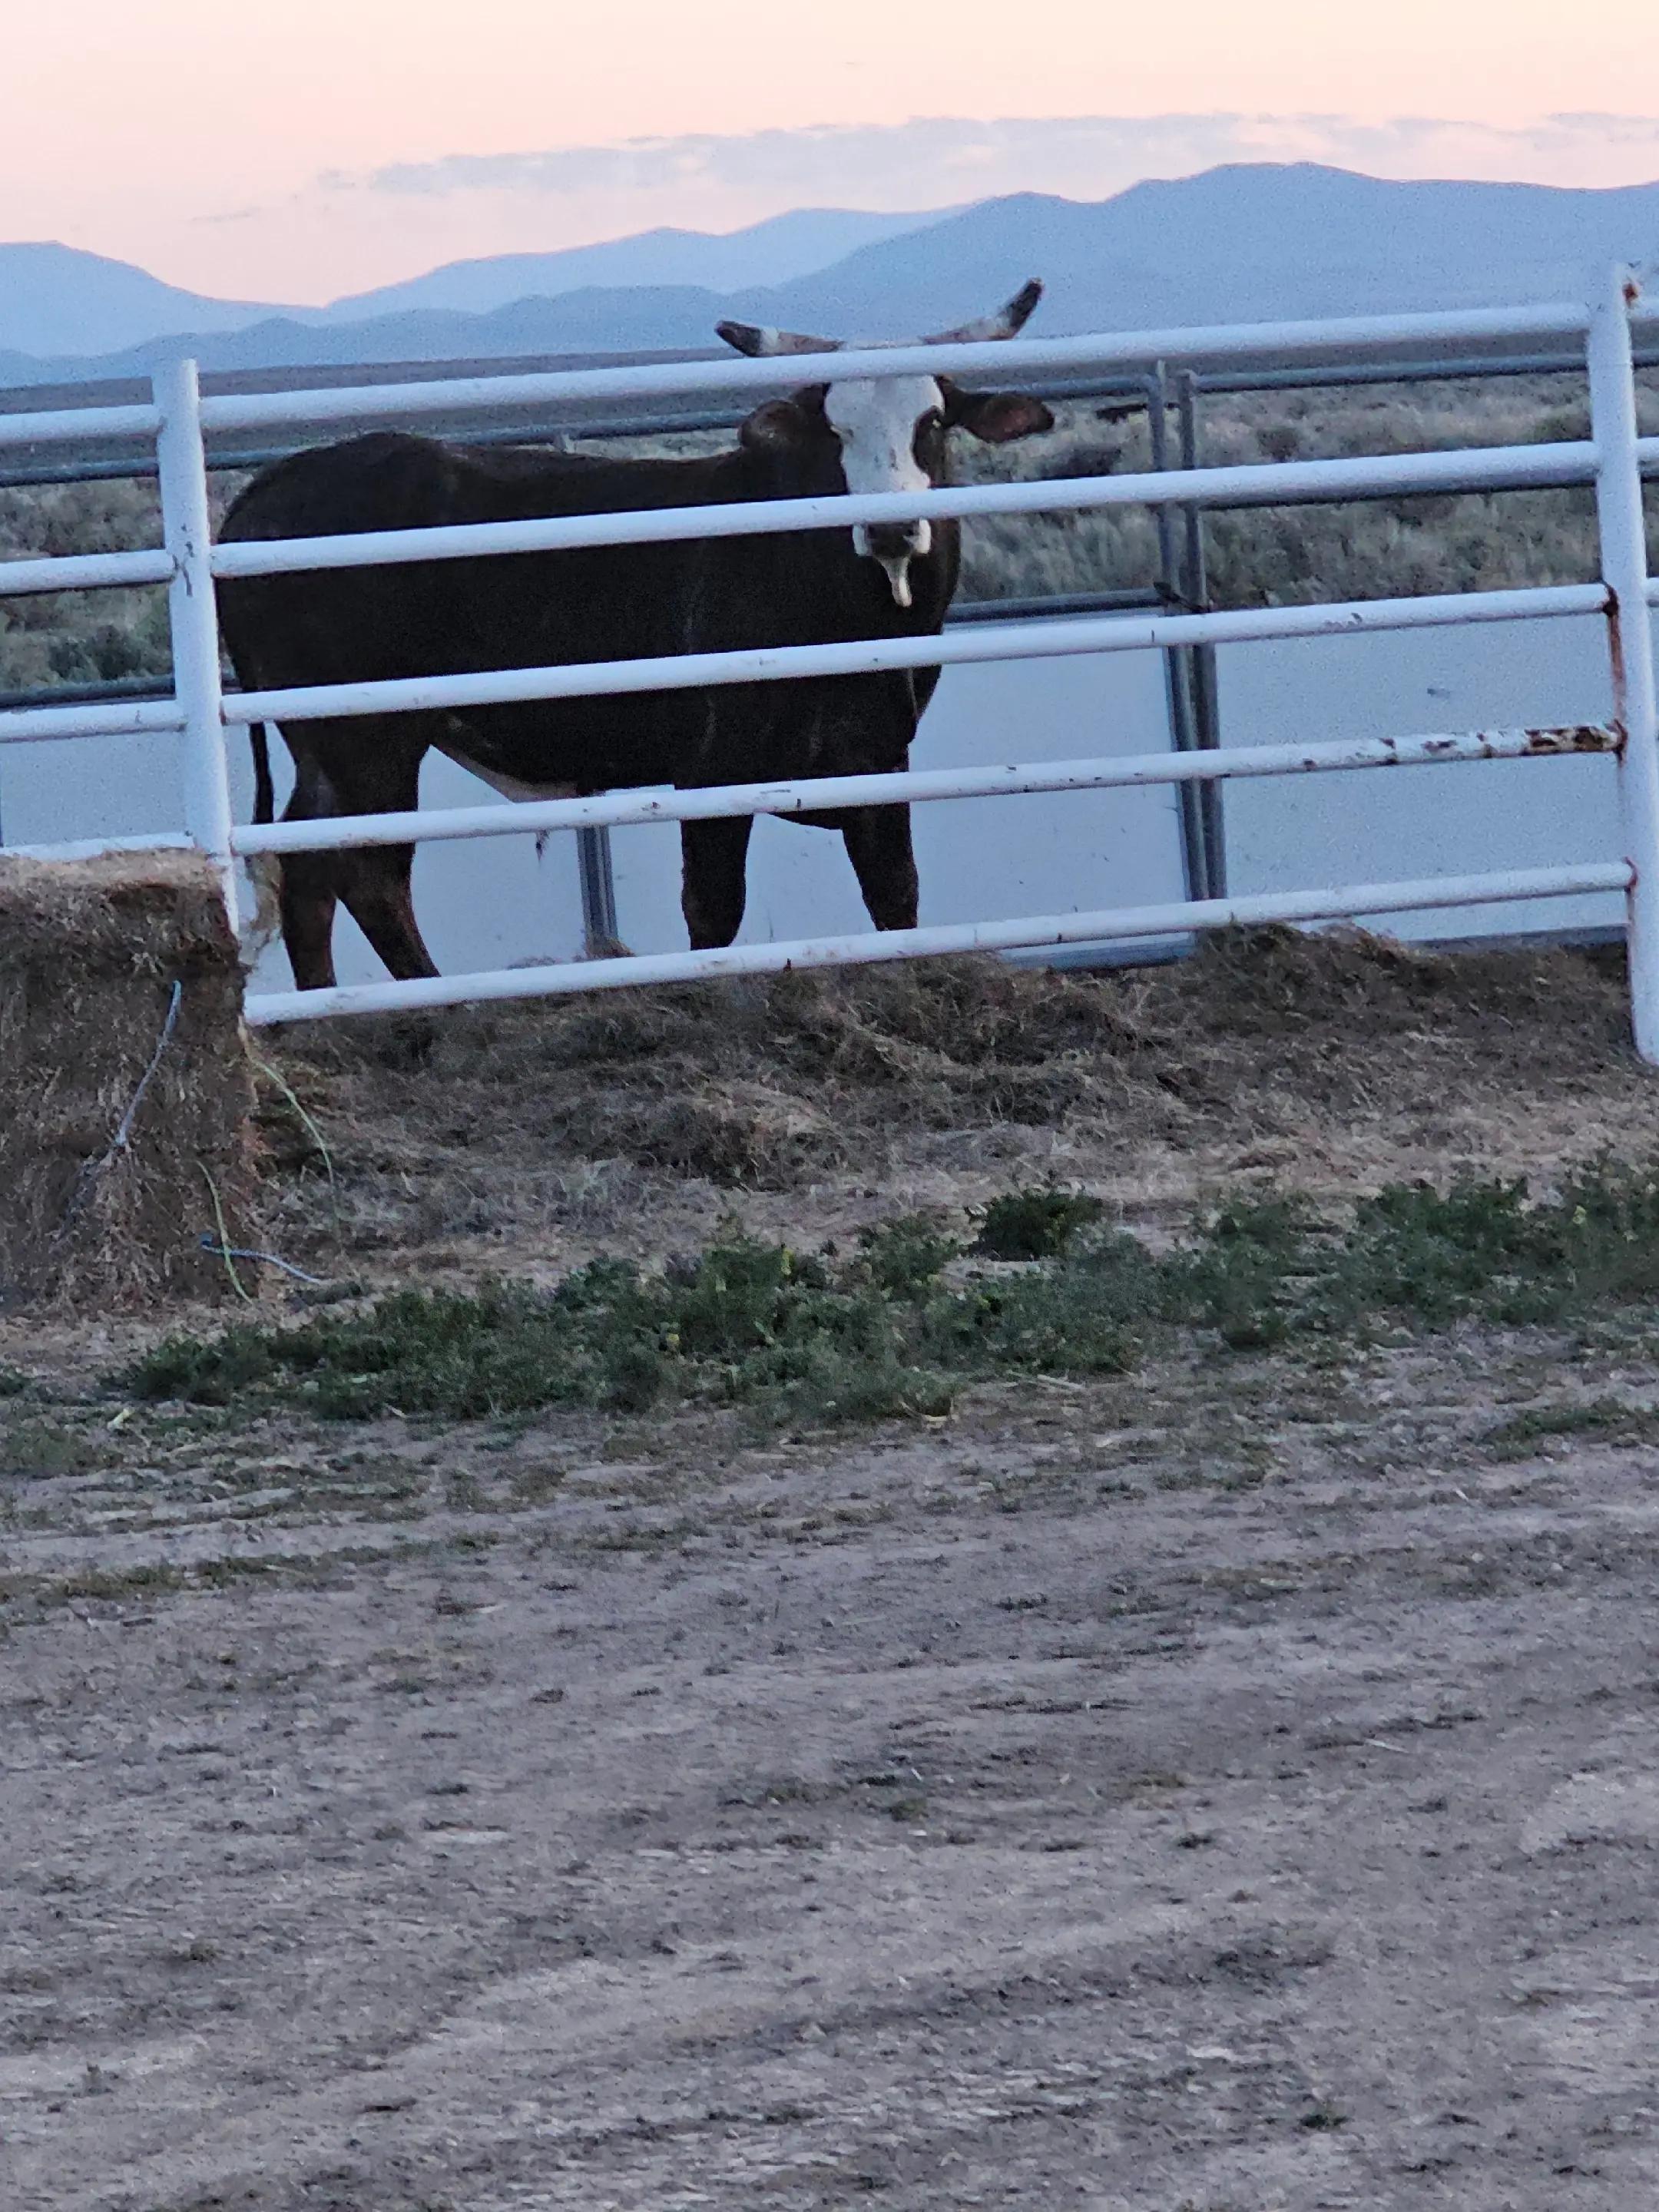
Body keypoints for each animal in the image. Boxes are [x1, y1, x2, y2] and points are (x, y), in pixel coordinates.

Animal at [216, 282, 1053, 990]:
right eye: (834, 430)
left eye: (931, 423)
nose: (888, 528)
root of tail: (265, 491)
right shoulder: (714, 774)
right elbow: (713, 910)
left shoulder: (880, 763)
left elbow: (896, 898)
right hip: (367, 740)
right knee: (367, 876)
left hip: (332, 751)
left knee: (312, 874)